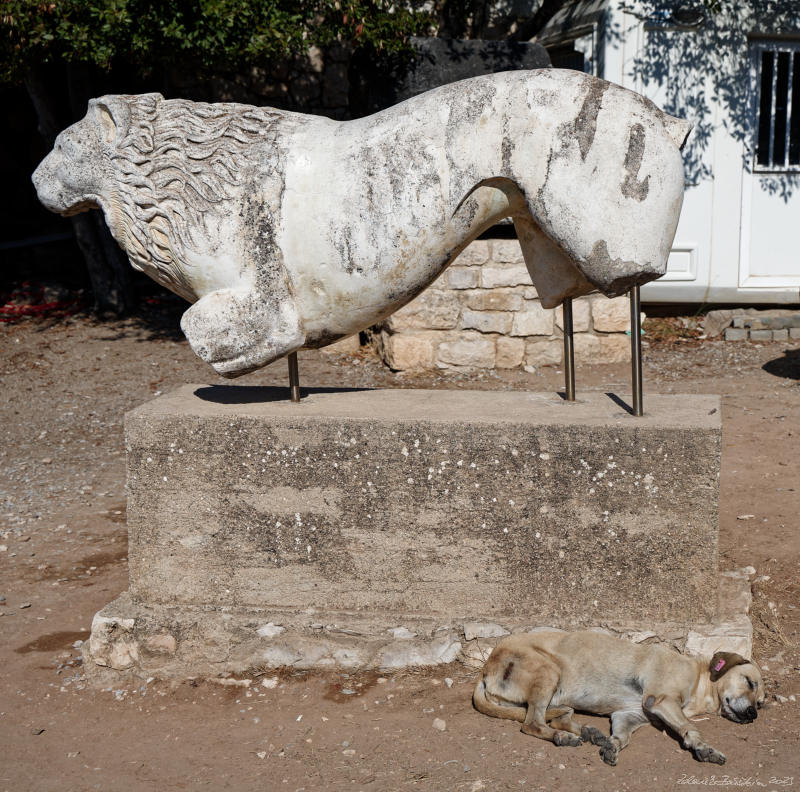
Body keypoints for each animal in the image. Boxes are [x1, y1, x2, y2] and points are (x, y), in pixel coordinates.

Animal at [472, 628, 764, 764]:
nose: (753, 714)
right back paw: (563, 737)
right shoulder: (660, 701)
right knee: (532, 723)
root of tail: (485, 669)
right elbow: (690, 728)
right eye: (749, 682)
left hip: (554, 693)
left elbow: (622, 737)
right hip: (549, 671)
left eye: (761, 703)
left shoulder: (629, 715)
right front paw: (705, 749)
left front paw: (611, 744)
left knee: (553, 716)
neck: (699, 679)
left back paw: (588, 732)